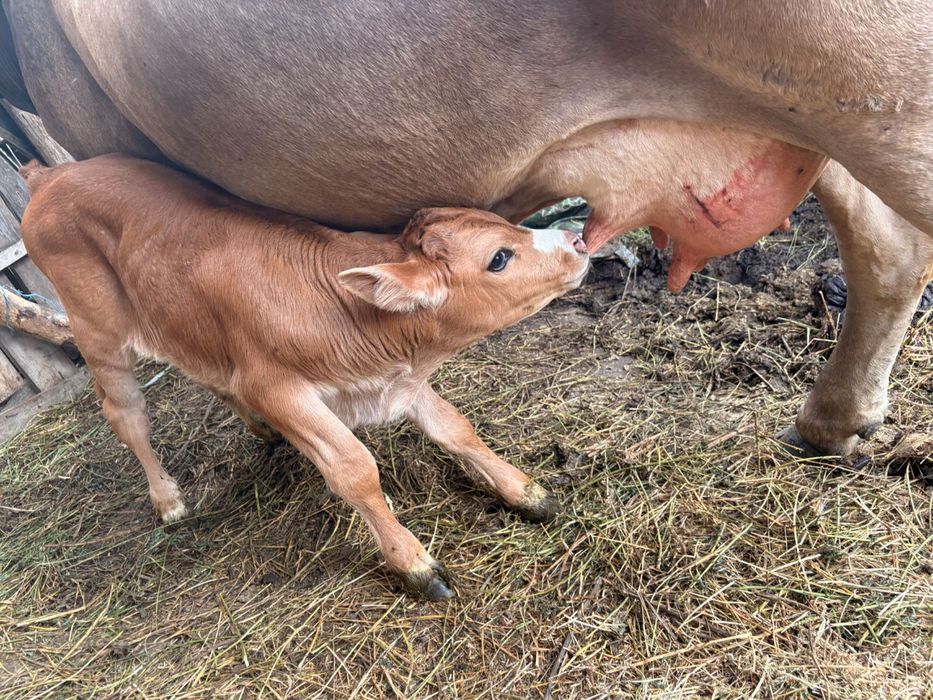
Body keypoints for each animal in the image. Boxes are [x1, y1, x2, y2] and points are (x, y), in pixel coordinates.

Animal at [18, 154, 590, 599]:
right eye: (499, 258)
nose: (578, 240)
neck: (344, 313)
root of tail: (49, 175)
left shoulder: (395, 380)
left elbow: (455, 427)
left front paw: (525, 492)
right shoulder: (275, 387)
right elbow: (355, 469)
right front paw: (413, 563)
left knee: (206, 374)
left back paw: (260, 432)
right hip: (97, 328)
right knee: (125, 412)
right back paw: (169, 500)